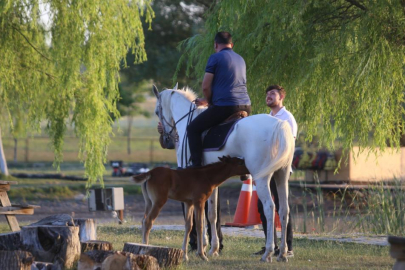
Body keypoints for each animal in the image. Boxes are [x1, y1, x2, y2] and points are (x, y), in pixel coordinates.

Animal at [152, 84, 294, 262]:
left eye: (157, 111)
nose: (166, 141)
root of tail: (279, 124)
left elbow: (199, 216)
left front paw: (202, 247)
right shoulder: (210, 182)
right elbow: (212, 214)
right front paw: (213, 248)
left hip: (262, 178)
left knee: (269, 208)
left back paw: (268, 252)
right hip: (281, 176)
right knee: (284, 210)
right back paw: (282, 253)